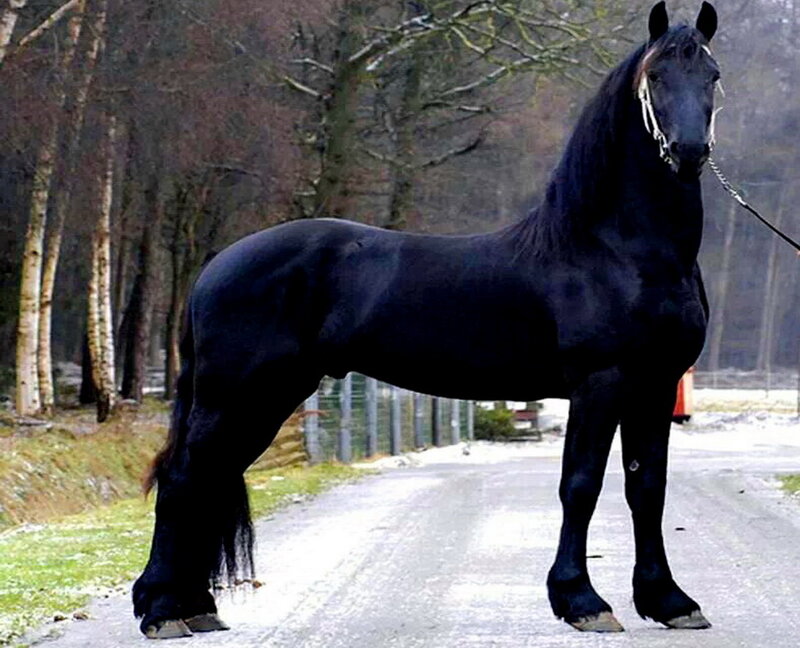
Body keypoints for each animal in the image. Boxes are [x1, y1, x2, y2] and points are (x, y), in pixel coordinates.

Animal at [133, 1, 721, 638]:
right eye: (656, 76)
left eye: (712, 76)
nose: (688, 152)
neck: (617, 250)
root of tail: (216, 265)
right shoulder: (600, 383)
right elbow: (582, 485)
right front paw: (582, 601)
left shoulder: (655, 385)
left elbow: (647, 487)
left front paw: (669, 600)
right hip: (235, 394)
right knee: (184, 478)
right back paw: (162, 611)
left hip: (266, 396)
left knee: (209, 479)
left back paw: (194, 606)